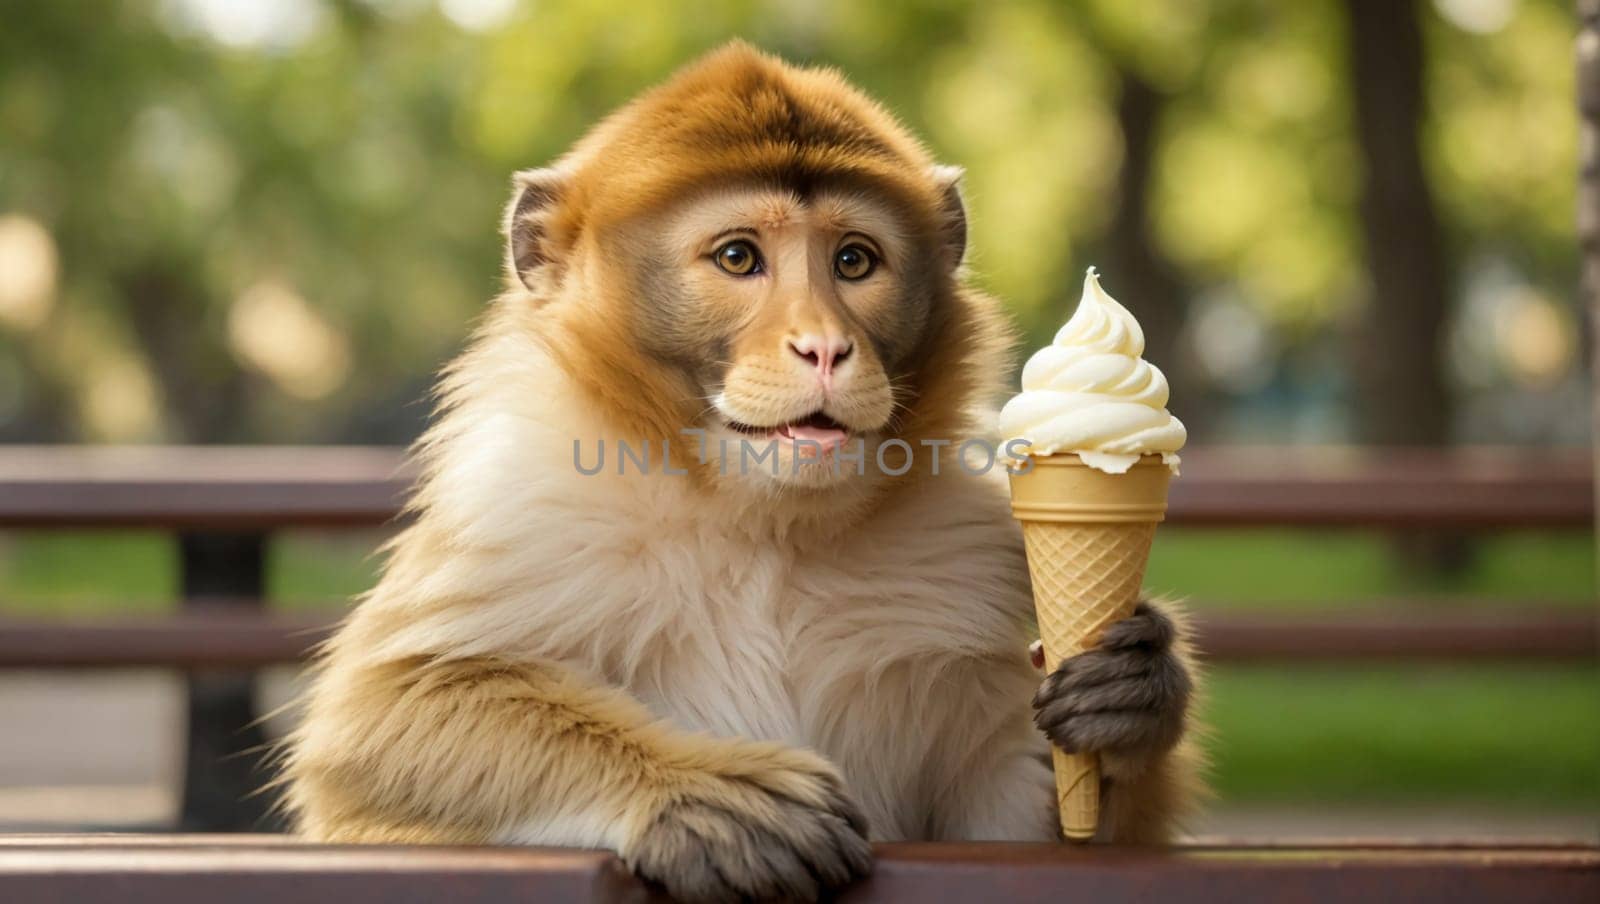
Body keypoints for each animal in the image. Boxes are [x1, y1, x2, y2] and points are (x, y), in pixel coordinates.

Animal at [281, 42, 1203, 902]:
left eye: (854, 262)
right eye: (737, 258)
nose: (825, 347)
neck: (761, 523)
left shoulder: (970, 563)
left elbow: (1018, 823)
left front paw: (1133, 703)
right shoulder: (515, 517)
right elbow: (376, 723)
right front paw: (704, 792)